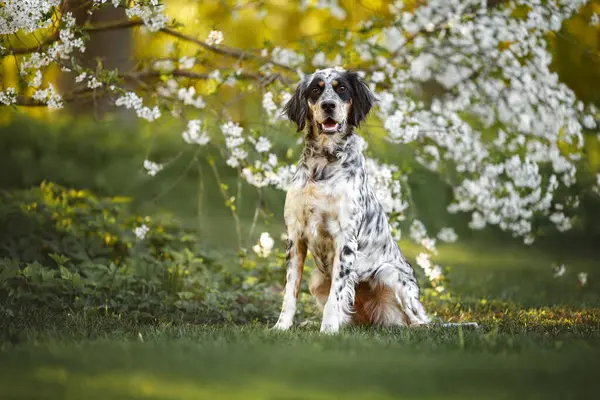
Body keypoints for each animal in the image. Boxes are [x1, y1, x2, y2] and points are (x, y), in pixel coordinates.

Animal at [274, 68, 434, 334]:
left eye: (342, 89)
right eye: (316, 89)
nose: (328, 105)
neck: (324, 163)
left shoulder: (345, 239)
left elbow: (336, 296)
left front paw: (328, 330)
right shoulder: (295, 236)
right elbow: (290, 293)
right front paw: (281, 326)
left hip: (390, 274)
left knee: (417, 321)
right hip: (317, 280)